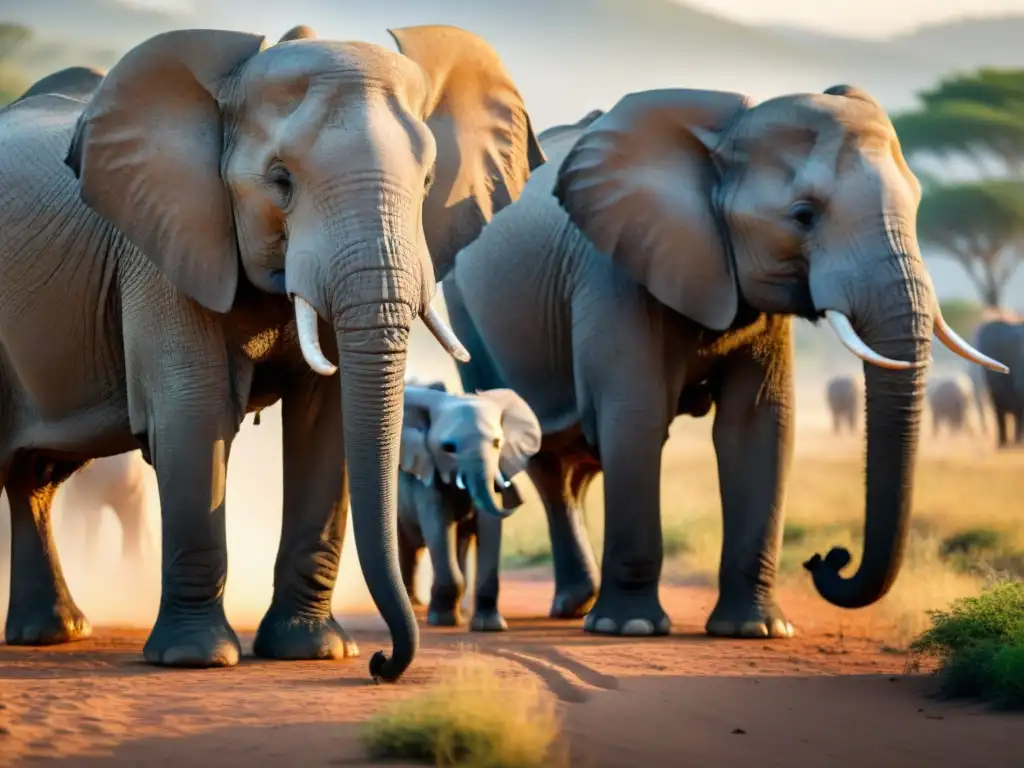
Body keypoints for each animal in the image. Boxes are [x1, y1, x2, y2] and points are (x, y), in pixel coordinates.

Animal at [397, 382, 544, 634]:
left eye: (497, 443)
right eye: (448, 448)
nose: (517, 499)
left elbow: (488, 525)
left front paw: (490, 627)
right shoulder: (427, 472)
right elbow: (438, 524)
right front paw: (442, 621)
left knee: (459, 541)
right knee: (408, 545)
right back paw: (416, 607)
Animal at [442, 82, 1007, 643]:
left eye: (917, 205)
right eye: (803, 215)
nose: (827, 558)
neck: (725, 138)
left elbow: (757, 425)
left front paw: (755, 629)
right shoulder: (614, 272)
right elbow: (637, 418)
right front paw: (631, 627)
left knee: (571, 463)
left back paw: (576, 604)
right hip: (465, 310)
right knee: (540, 457)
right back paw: (580, 608)